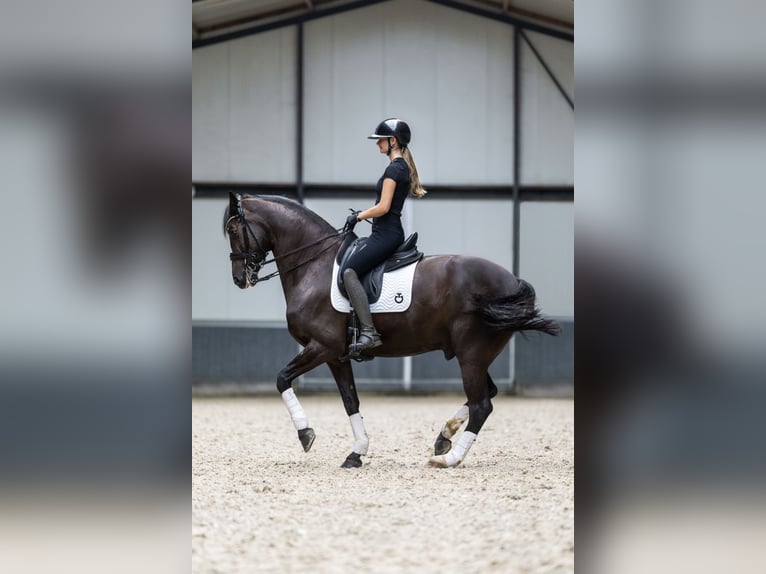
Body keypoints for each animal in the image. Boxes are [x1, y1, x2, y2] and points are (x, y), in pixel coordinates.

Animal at [223, 192, 560, 468]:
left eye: (233, 230)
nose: (240, 279)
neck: (314, 266)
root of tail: (511, 281)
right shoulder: (336, 356)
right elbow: (350, 400)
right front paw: (357, 452)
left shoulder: (322, 346)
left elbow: (282, 379)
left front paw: (306, 433)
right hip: (476, 355)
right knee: (487, 395)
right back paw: (444, 436)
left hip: (472, 356)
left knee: (482, 405)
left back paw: (448, 458)